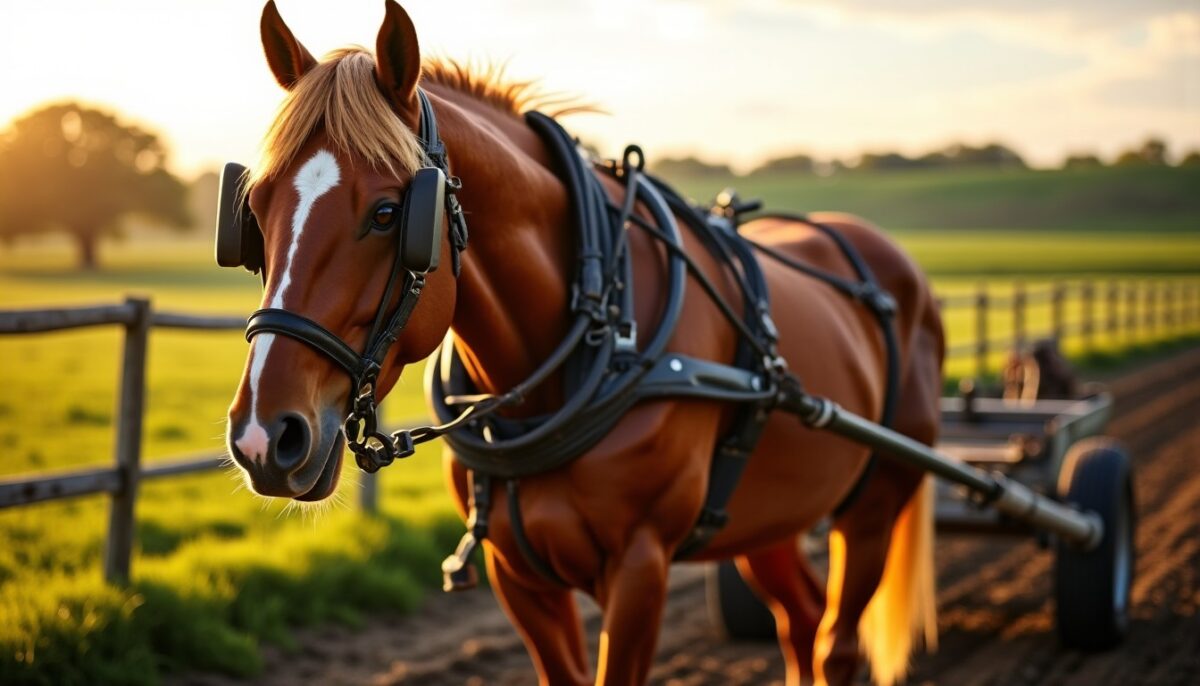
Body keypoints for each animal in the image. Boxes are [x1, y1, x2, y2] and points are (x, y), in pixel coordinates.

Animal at [222, 3, 945, 684]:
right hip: (767, 519)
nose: (264, 436)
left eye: (387, 214)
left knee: (835, 643)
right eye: (253, 210)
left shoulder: (640, 565)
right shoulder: (516, 573)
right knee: (800, 621)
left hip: (875, 506)